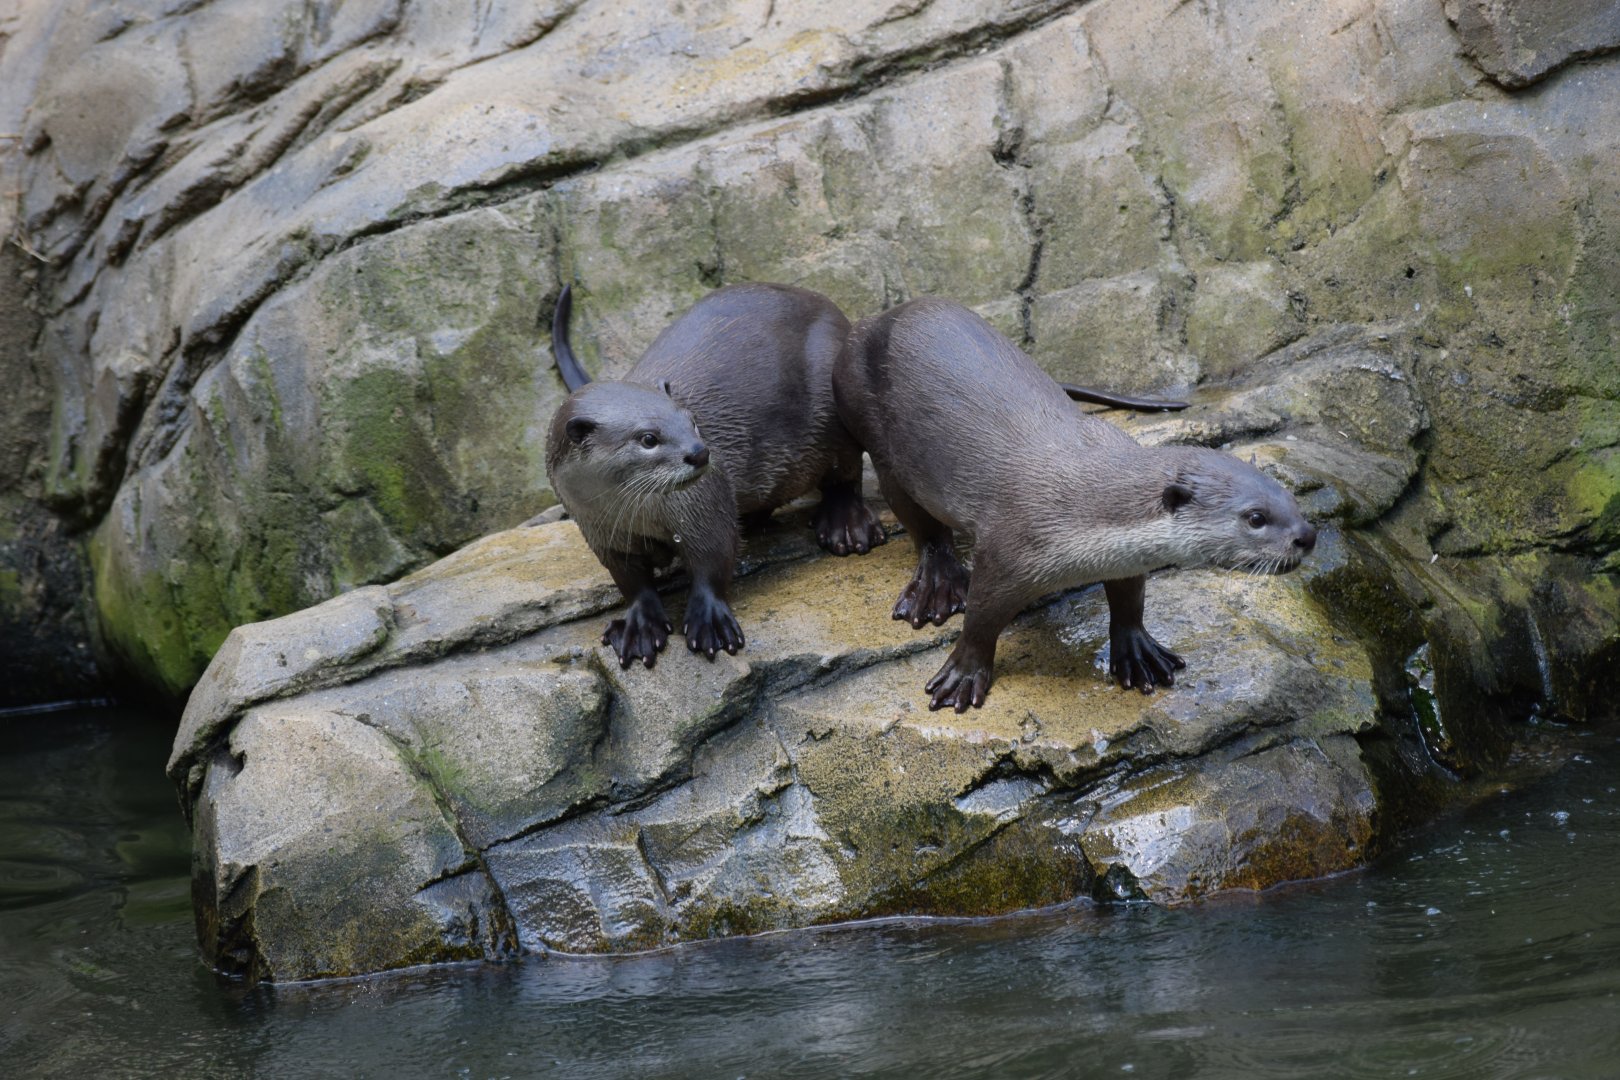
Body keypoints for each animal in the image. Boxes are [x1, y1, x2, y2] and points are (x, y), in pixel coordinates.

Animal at [545, 282, 887, 668]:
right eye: (648, 438)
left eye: (692, 421)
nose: (700, 452)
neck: (635, 514)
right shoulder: (599, 531)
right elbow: (630, 580)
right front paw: (640, 626)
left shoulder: (704, 502)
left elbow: (714, 555)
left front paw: (709, 623)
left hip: (833, 399)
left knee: (845, 473)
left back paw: (846, 526)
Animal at [833, 297, 1317, 712]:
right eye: (1255, 518)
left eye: (1291, 500)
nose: (1307, 536)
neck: (1085, 501)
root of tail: (868, 324)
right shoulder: (1008, 548)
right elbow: (981, 617)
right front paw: (964, 675)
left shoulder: (1125, 556)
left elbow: (1129, 597)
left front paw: (1138, 651)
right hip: (874, 427)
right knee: (919, 520)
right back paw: (936, 584)